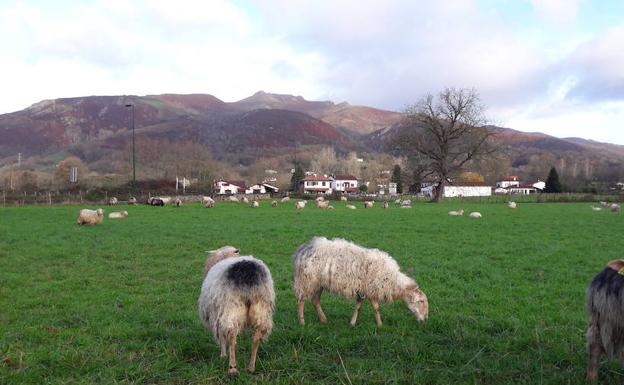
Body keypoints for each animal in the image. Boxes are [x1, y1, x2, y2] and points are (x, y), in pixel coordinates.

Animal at [292, 236, 428, 326]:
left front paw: (352, 323)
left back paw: (324, 320)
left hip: (318, 283)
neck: (393, 281)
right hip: (306, 280)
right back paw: (302, 322)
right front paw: (380, 324)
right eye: (421, 301)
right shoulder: (371, 288)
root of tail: (302, 249)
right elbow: (376, 308)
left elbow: (358, 306)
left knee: (315, 300)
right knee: (301, 301)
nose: (425, 319)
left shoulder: (363, 289)